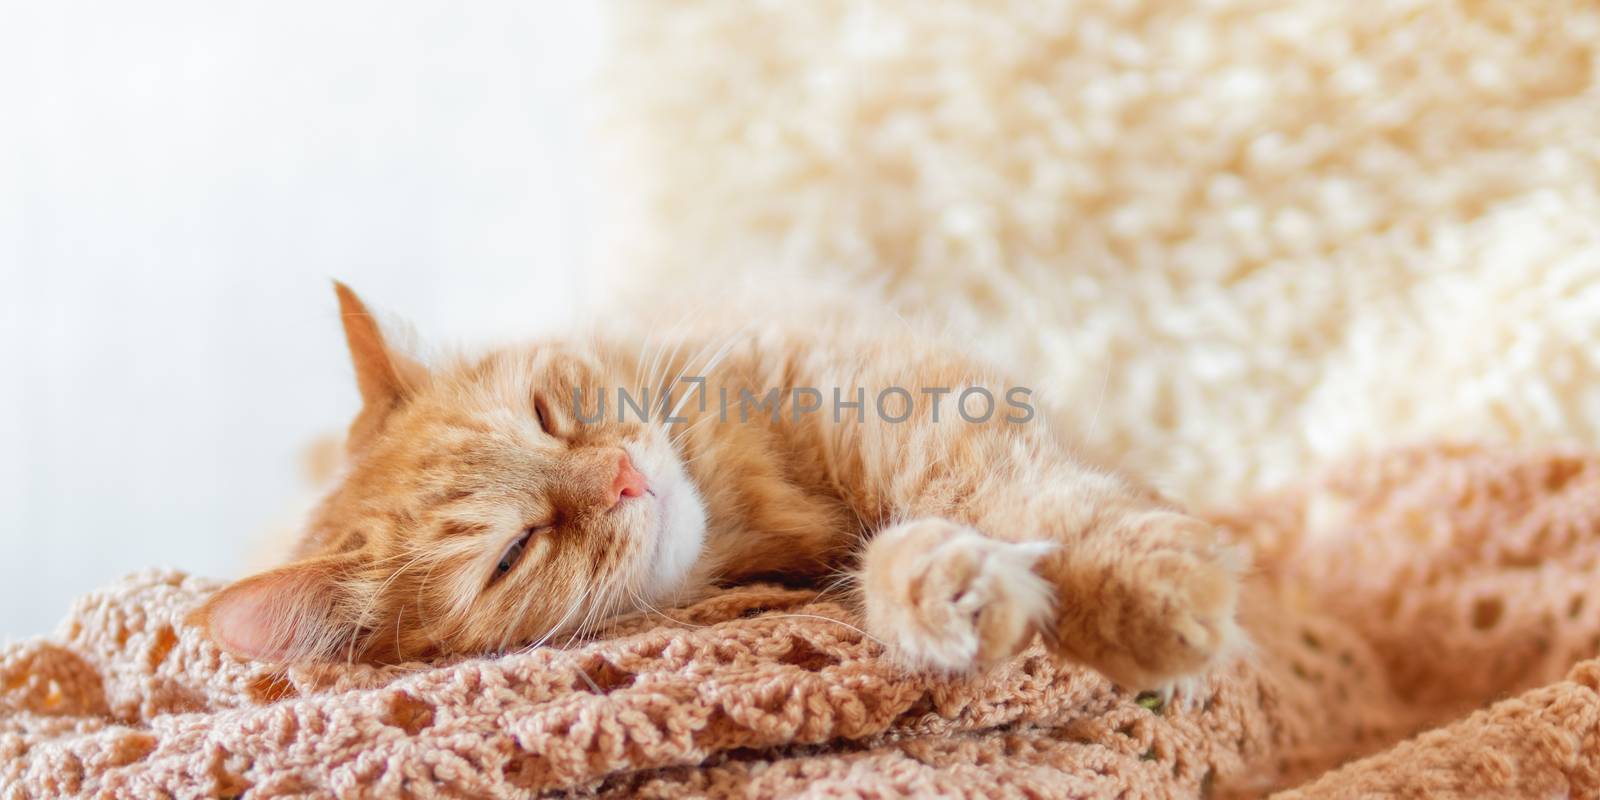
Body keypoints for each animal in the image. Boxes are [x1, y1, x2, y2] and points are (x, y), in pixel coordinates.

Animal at [196, 284, 1248, 691]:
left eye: (546, 413)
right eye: (514, 552)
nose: (622, 476)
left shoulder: (894, 400)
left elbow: (1027, 494)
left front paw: (1151, 601)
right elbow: (904, 556)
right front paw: (950, 597)